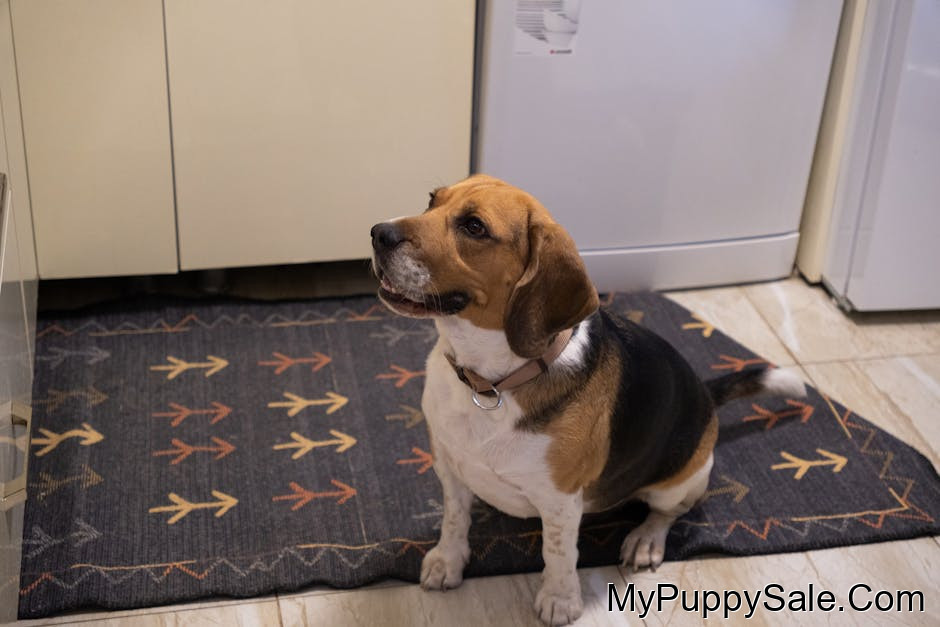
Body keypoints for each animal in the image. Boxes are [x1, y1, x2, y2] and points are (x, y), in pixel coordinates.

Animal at [370, 175, 805, 625]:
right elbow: (454, 519)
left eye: (474, 227)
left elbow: (559, 552)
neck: (489, 383)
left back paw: (646, 540)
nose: (378, 234)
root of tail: (704, 392)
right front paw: (447, 561)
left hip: (680, 481)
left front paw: (560, 599)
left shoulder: (560, 500)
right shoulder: (449, 465)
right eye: (431, 201)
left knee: (670, 512)